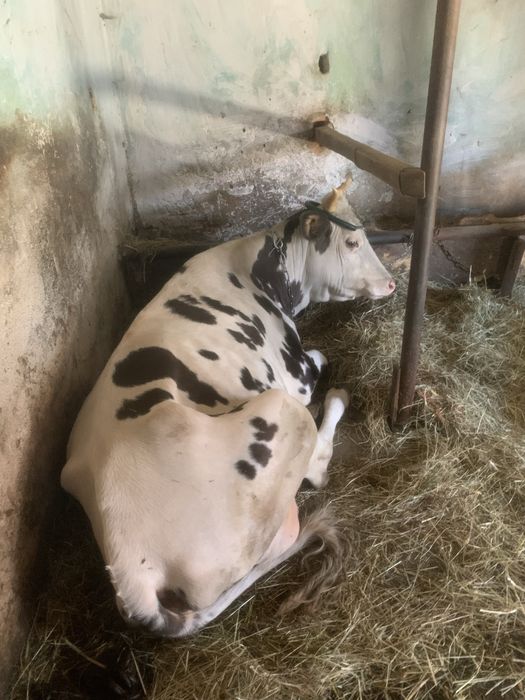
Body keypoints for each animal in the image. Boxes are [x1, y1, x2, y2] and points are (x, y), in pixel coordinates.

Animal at [61, 177, 395, 637]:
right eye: (351, 240)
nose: (392, 284)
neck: (260, 271)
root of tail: (131, 570)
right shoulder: (296, 373)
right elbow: (320, 358)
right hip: (281, 412)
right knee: (312, 472)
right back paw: (337, 403)